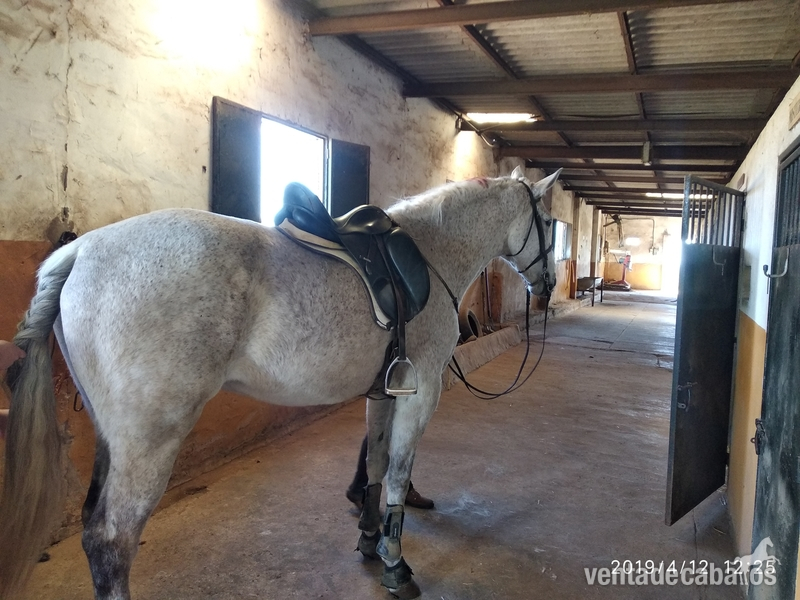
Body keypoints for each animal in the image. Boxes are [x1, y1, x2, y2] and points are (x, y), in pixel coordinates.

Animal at [0, 165, 559, 599]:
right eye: (551, 223)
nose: (549, 287)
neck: (430, 254)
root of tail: (79, 252)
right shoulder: (420, 392)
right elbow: (399, 473)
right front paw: (396, 565)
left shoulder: (383, 392)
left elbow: (376, 464)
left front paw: (368, 541)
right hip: (148, 440)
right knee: (111, 541)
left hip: (111, 436)